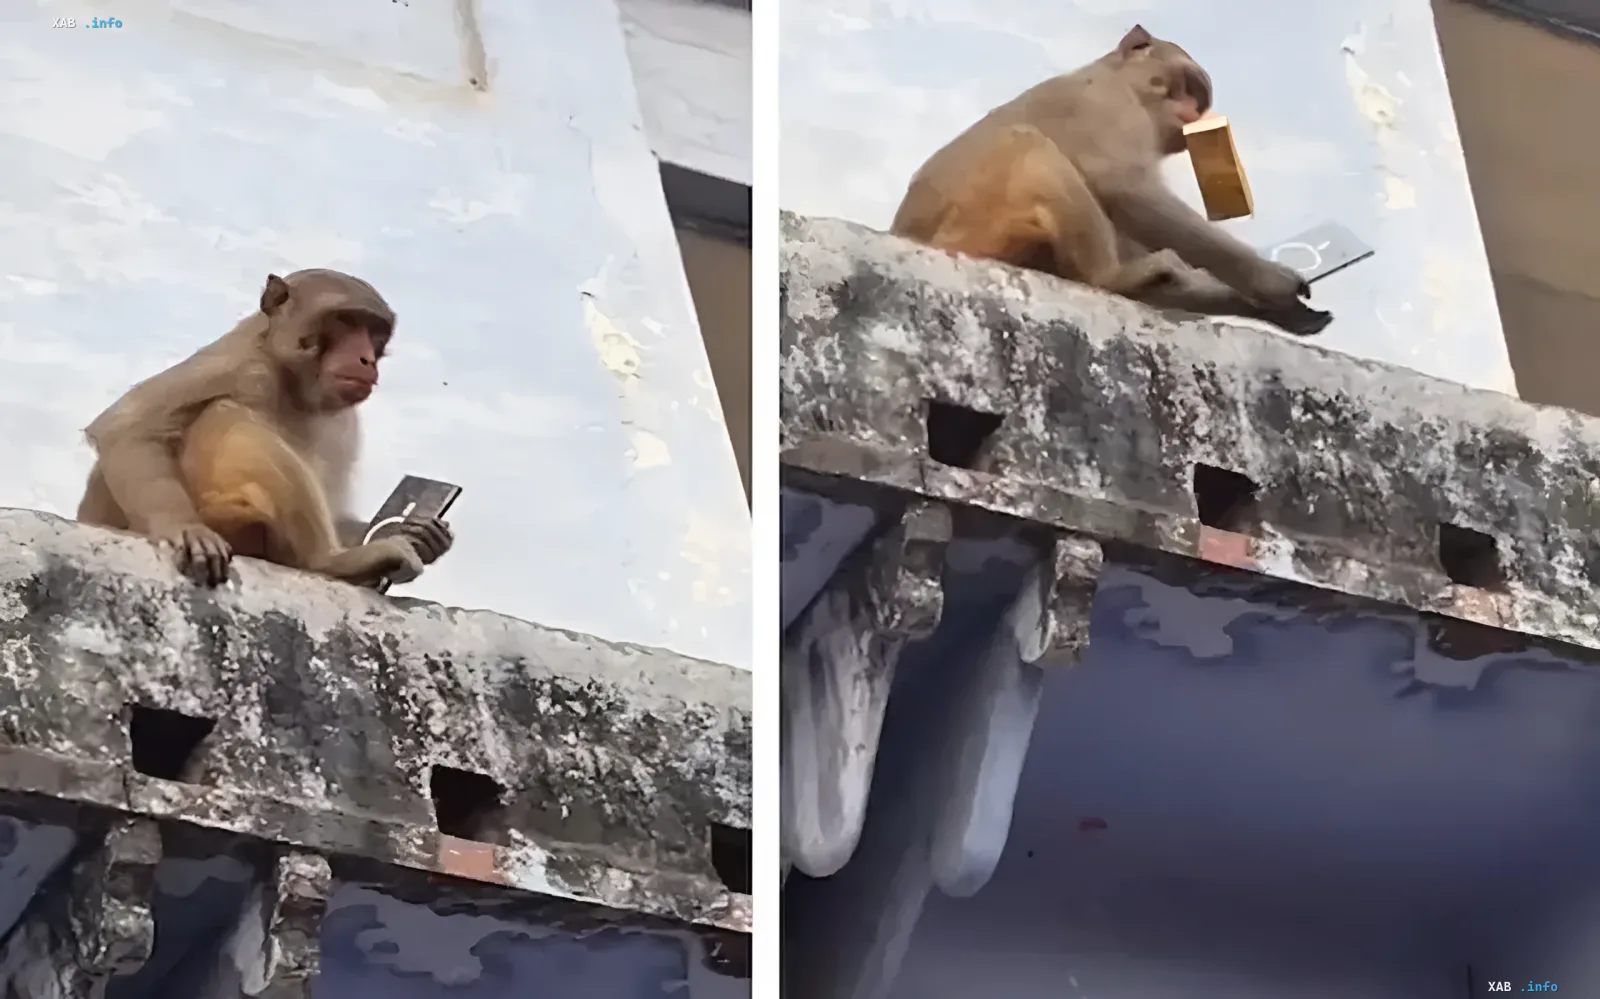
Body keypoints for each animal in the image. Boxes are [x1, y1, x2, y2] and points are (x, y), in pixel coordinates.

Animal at [76, 269, 453, 588]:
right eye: (346, 321)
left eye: (375, 331)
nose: (366, 359)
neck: (293, 382)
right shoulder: (240, 366)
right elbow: (127, 427)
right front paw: (184, 528)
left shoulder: (345, 420)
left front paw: (422, 534)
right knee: (228, 414)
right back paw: (331, 562)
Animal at [890, 24, 1333, 337]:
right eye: (1186, 88)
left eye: (1198, 97)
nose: (1194, 113)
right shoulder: (1111, 102)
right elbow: (1119, 183)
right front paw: (1271, 282)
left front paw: (1269, 307)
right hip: (973, 229)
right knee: (1029, 145)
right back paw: (1107, 277)